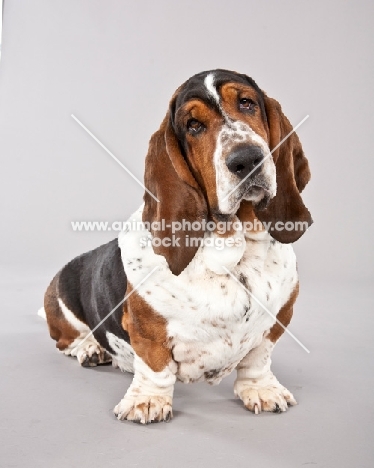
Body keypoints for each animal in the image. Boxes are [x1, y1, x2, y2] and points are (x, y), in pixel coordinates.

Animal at [42, 69, 312, 424]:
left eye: (247, 103)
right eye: (193, 125)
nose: (247, 159)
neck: (234, 255)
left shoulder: (279, 319)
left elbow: (258, 358)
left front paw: (262, 389)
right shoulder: (146, 329)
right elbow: (155, 366)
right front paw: (147, 401)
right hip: (62, 305)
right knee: (66, 340)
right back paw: (90, 348)